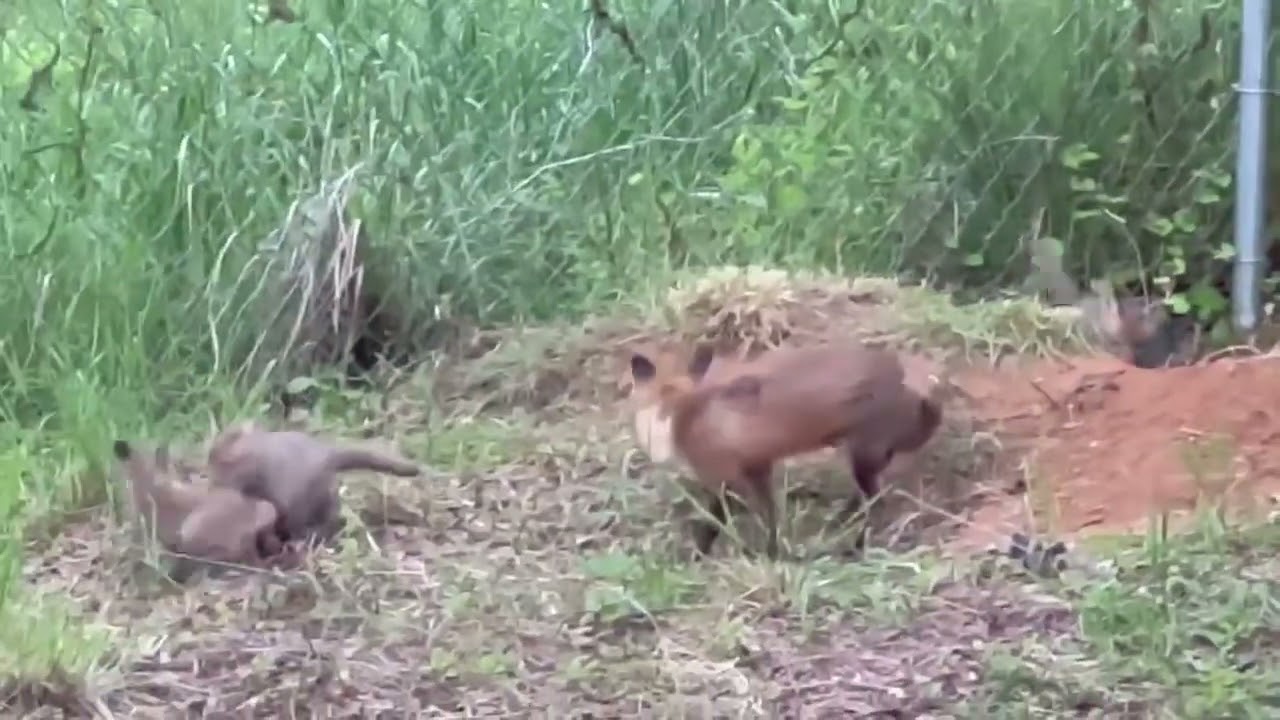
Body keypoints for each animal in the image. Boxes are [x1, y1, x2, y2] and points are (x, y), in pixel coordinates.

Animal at [628, 340, 942, 560]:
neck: (677, 414)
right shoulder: (757, 466)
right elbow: (771, 516)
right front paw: (773, 553)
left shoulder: (722, 478)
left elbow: (714, 524)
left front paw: (698, 556)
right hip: (863, 460)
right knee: (864, 499)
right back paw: (838, 522)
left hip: (861, 458)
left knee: (875, 503)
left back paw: (855, 546)